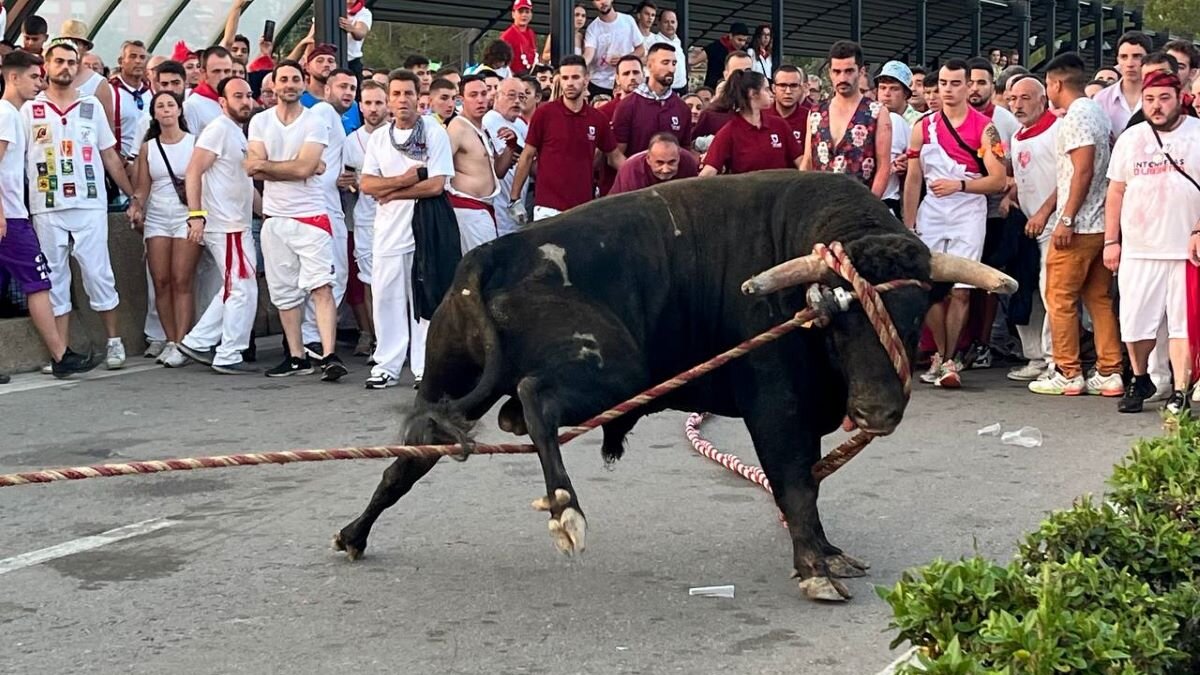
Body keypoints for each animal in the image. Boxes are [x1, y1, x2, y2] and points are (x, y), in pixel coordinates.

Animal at [333, 168, 1017, 598]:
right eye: (834, 318)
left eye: (914, 312)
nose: (877, 411)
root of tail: (493, 253)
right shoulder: (775, 406)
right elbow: (796, 484)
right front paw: (813, 569)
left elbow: (809, 486)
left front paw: (828, 552)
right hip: (616, 366)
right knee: (533, 399)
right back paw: (566, 510)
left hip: (445, 382)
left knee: (409, 460)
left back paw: (354, 534)